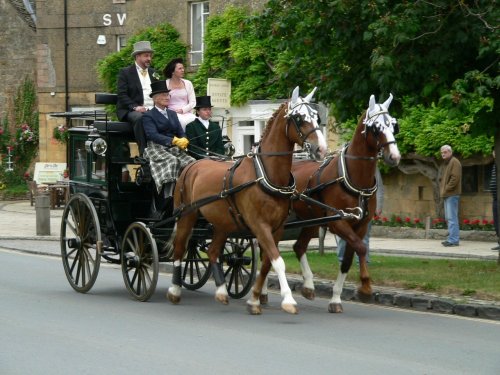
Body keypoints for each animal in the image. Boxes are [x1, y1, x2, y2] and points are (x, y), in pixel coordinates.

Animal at [166, 87, 326, 314]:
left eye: (317, 117)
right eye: (299, 118)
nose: (321, 149)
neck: (266, 174)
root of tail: (191, 166)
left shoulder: (277, 228)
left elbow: (267, 263)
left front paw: (255, 299)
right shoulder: (259, 225)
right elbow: (278, 262)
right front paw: (287, 300)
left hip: (222, 223)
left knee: (213, 251)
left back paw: (222, 291)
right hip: (187, 216)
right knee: (180, 248)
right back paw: (175, 290)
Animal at [260, 92, 400, 312]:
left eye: (394, 125)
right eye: (376, 127)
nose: (394, 156)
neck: (354, 178)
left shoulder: (360, 225)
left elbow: (349, 259)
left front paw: (336, 298)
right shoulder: (338, 222)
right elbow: (360, 248)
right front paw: (365, 287)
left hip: (310, 220)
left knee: (298, 247)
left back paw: (308, 286)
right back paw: (264, 293)